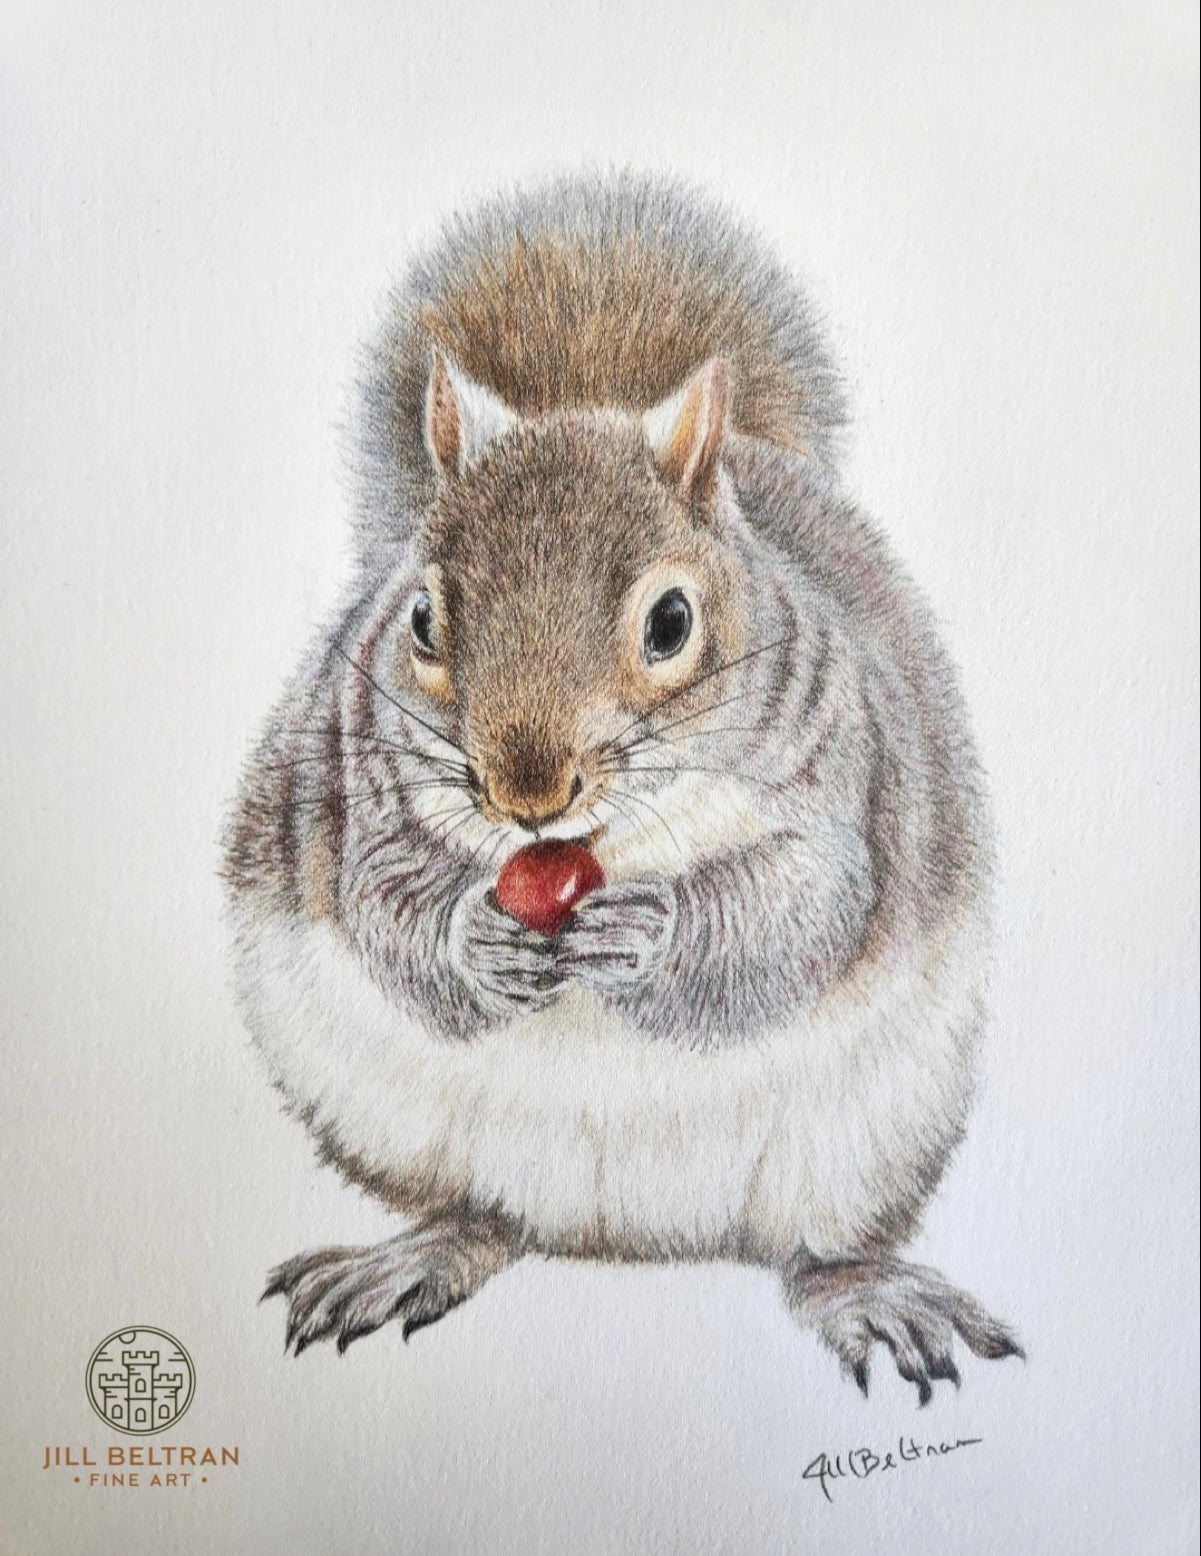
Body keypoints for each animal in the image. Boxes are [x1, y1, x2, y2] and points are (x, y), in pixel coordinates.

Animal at [224, 171, 1022, 1401]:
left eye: (672, 620)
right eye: (421, 617)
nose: (527, 793)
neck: (595, 842)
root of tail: (616, 1235)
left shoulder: (844, 791)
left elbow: (798, 912)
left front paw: (650, 933)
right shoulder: (355, 793)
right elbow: (380, 900)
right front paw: (474, 938)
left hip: (871, 1137)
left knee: (815, 1246)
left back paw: (868, 1293)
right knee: (481, 1213)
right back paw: (411, 1254)